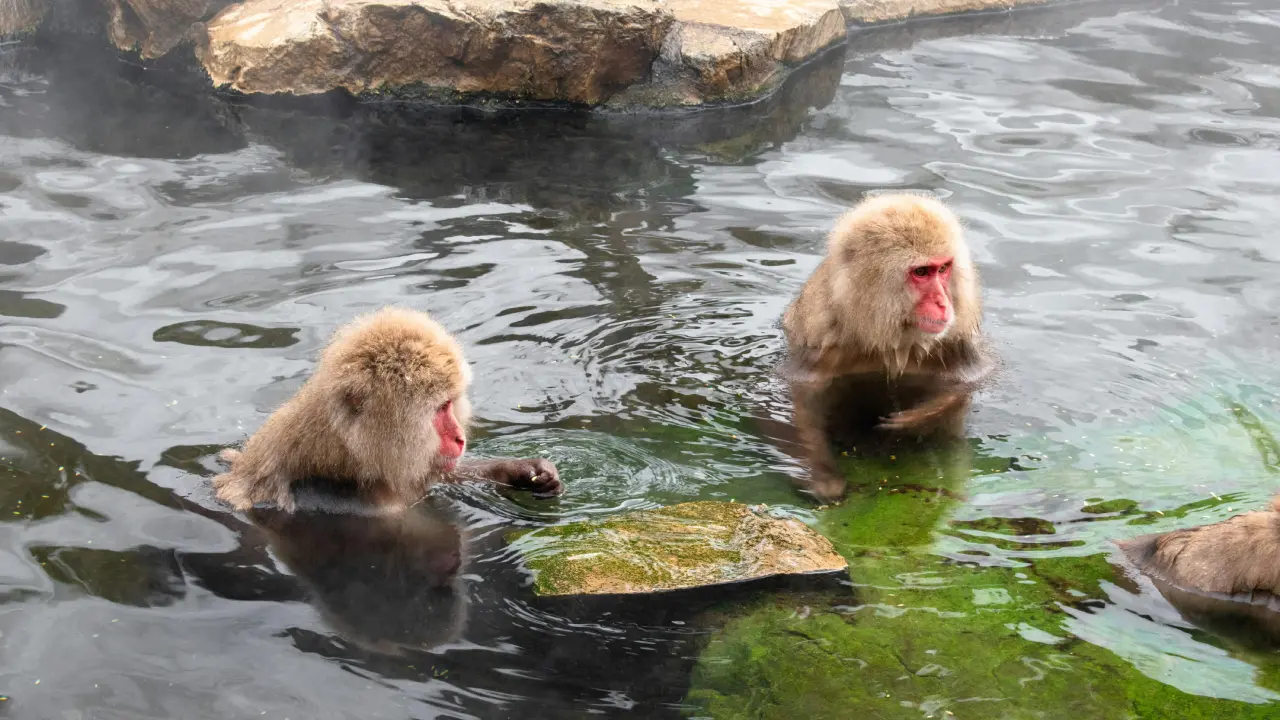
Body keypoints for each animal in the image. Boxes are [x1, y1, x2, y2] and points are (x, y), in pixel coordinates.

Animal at [778, 193, 996, 502]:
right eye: (921, 272)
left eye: (943, 269)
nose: (944, 303)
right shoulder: (822, 343)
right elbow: (804, 400)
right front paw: (823, 476)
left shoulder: (956, 336)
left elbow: (973, 378)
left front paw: (915, 418)